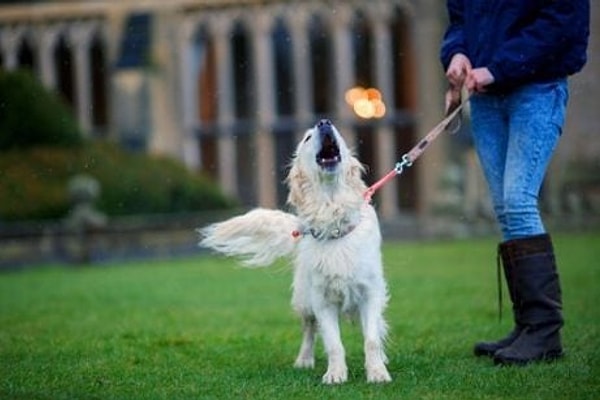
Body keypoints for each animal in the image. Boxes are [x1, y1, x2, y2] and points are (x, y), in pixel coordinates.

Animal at [199, 119, 392, 384]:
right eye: (307, 138)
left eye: (338, 132)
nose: (324, 122)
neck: (332, 218)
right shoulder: (321, 301)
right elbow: (334, 343)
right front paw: (335, 374)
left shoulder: (371, 292)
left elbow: (371, 339)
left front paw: (377, 372)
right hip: (304, 299)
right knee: (309, 330)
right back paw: (304, 360)